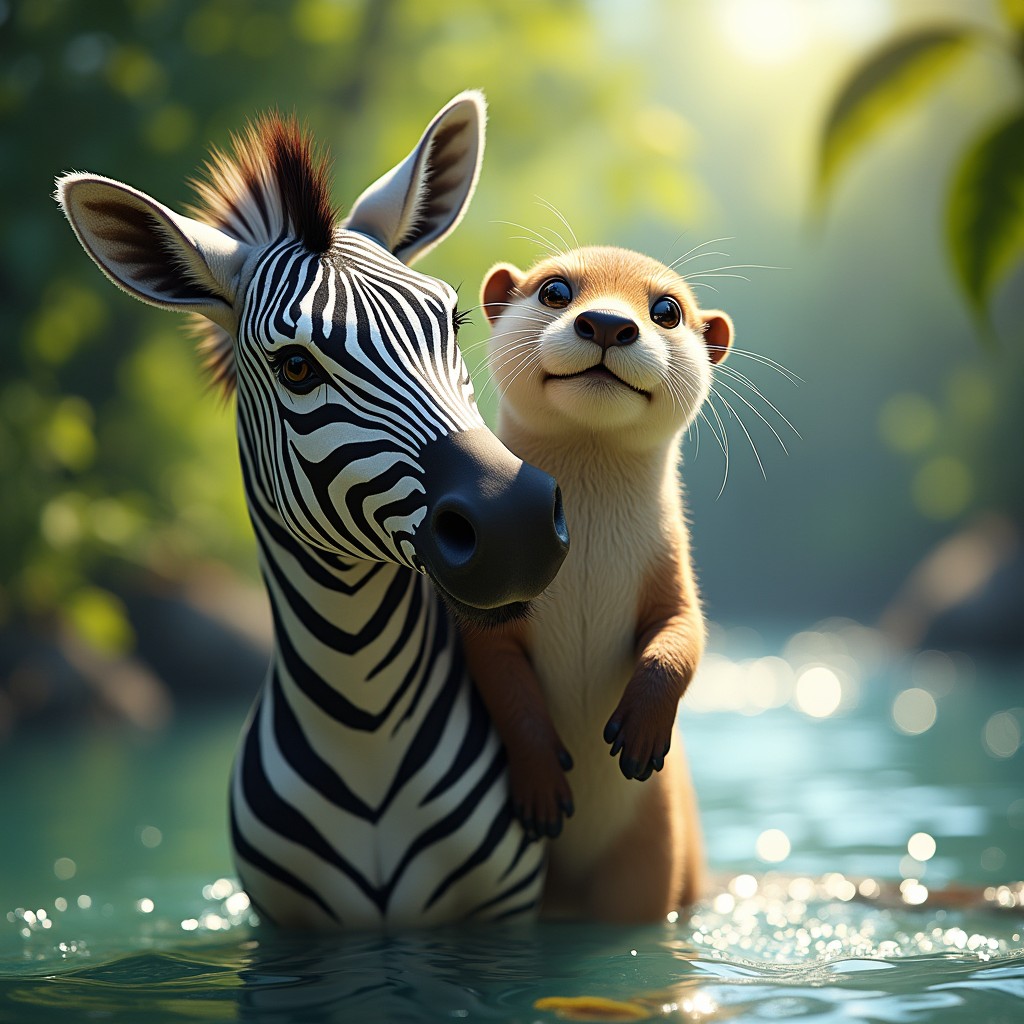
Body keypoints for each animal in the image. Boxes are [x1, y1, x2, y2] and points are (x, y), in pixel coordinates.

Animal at [460, 245, 734, 923]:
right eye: (556, 291)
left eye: (667, 309)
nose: (608, 323)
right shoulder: (486, 600)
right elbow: (498, 671)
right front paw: (539, 778)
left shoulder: (671, 571)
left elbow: (684, 635)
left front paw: (640, 731)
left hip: (653, 848)